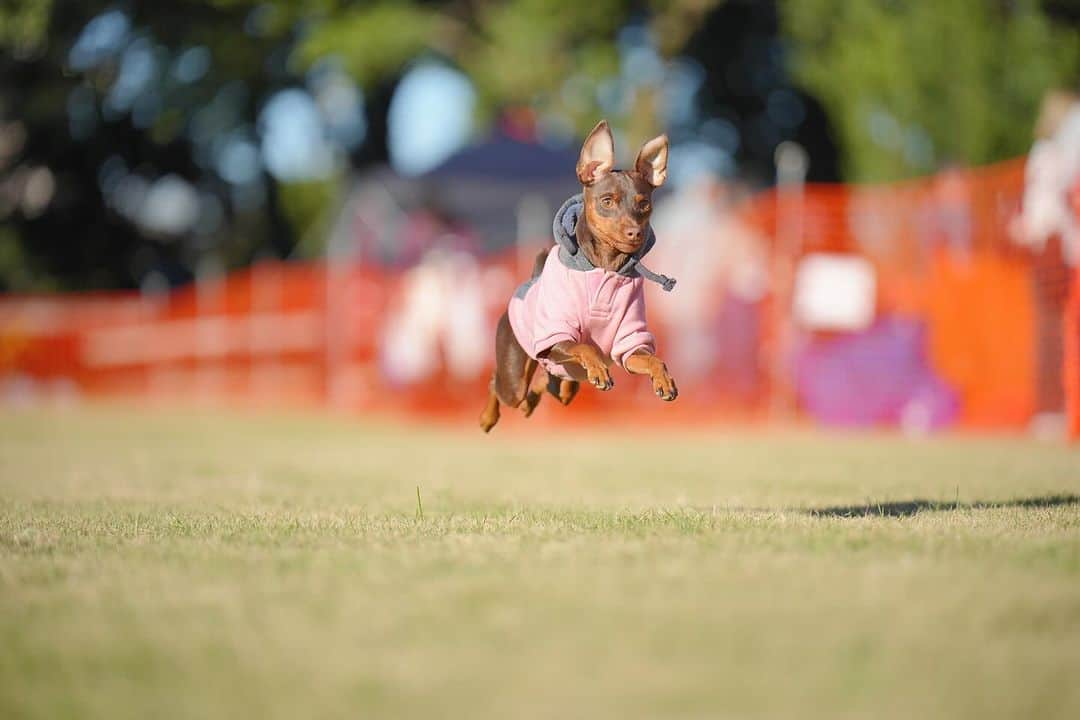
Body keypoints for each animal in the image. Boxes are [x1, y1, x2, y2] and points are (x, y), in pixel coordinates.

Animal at [479, 120, 673, 431]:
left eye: (644, 204)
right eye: (607, 201)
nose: (635, 233)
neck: (605, 266)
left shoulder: (629, 345)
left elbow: (653, 359)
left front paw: (663, 380)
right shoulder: (556, 337)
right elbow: (585, 346)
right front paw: (600, 370)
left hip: (564, 379)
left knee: (547, 387)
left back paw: (532, 402)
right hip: (517, 371)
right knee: (500, 383)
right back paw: (488, 417)